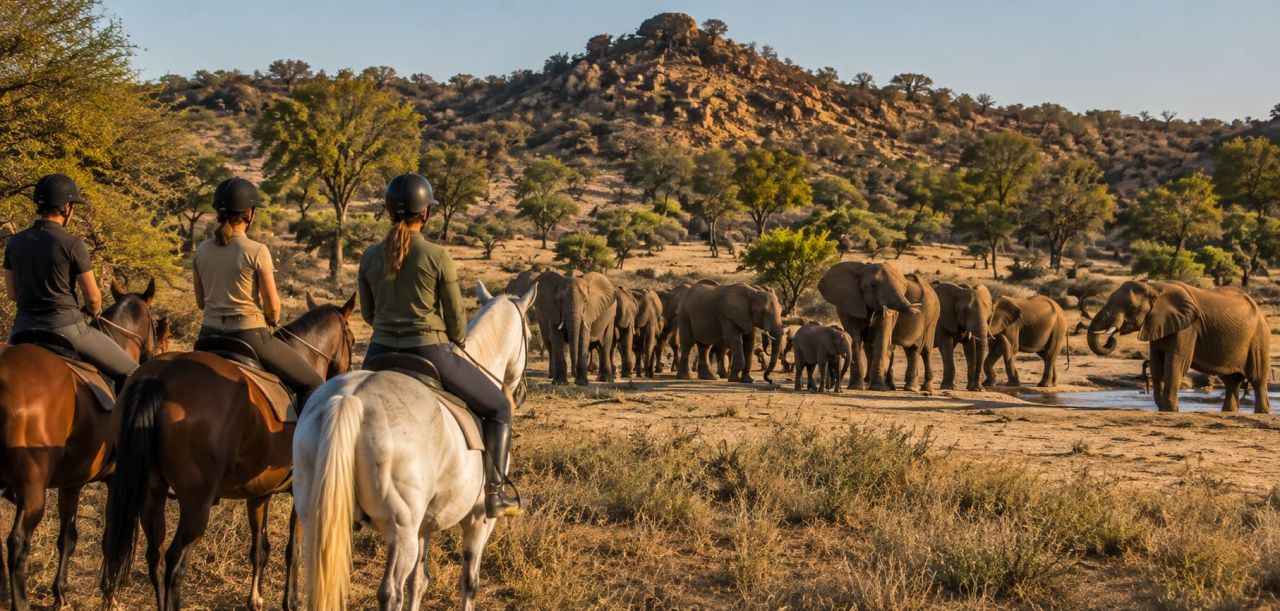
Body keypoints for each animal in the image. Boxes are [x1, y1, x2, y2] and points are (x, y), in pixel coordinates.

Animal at [0, 279, 168, 610]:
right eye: (156, 324)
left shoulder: (72, 482)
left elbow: (68, 536)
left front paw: (61, 594)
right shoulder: (116, 480)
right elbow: (110, 538)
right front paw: (110, 594)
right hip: (32, 490)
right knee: (17, 543)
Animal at [99, 293, 356, 611]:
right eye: (352, 339)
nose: (344, 375)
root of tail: (157, 379)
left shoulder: (259, 493)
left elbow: (260, 548)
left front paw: (255, 598)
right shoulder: (301, 490)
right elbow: (293, 550)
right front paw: (291, 602)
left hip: (151, 492)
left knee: (155, 556)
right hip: (196, 504)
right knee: (174, 562)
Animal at [293, 281, 534, 611]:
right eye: (531, 337)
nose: (520, 393)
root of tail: (349, 398)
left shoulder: (425, 524)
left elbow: (418, 582)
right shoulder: (479, 520)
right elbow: (469, 582)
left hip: (319, 517)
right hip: (401, 531)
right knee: (390, 592)